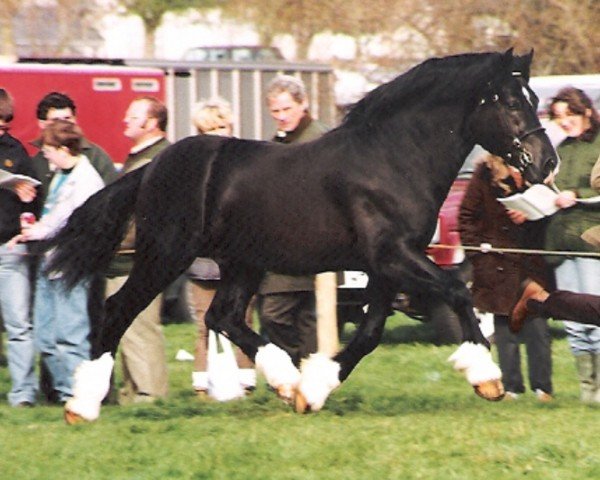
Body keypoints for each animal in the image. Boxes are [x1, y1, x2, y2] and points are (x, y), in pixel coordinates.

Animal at [48, 50, 556, 422]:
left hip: (242, 262)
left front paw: (313, 390)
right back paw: (81, 406)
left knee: (223, 316)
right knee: (121, 309)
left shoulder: (386, 264)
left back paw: (286, 383)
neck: (393, 159)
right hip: (167, 254)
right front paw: (488, 379)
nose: (546, 161)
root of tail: (151, 167)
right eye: (512, 101)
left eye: (534, 97)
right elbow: (457, 291)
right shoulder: (395, 255)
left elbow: (370, 331)